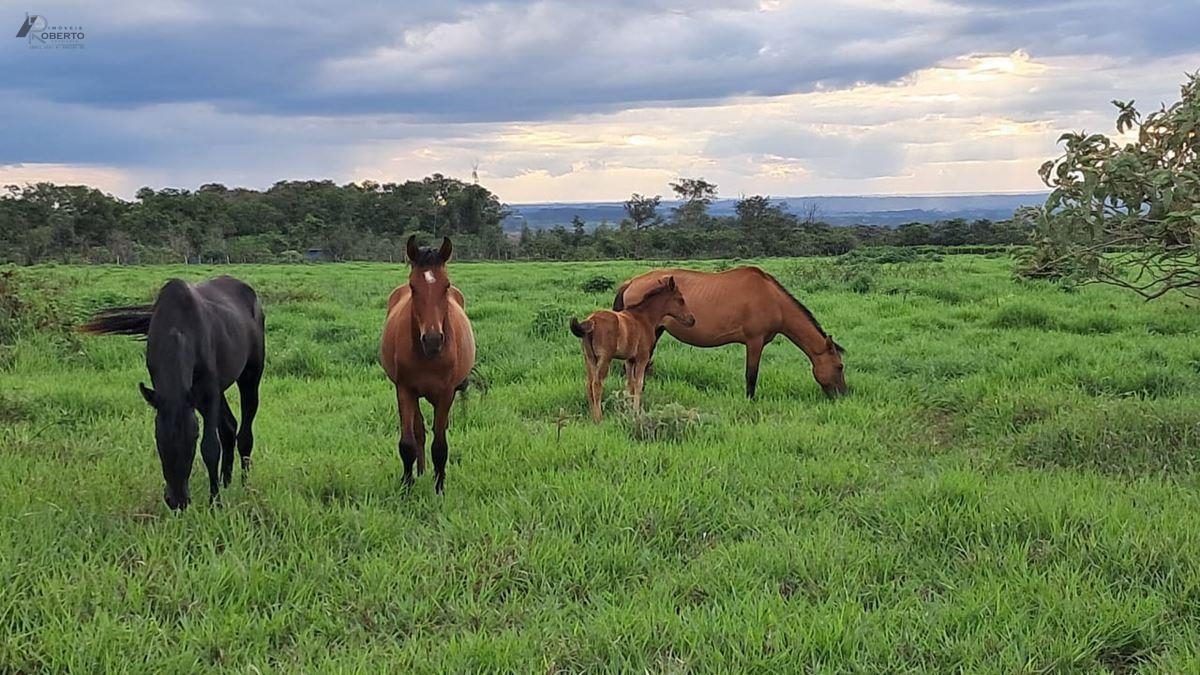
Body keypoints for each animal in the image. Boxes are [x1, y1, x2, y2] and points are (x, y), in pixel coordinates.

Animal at [81, 276, 265, 506]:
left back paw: (245, 486)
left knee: (245, 435)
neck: (177, 327)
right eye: (158, 437)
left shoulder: (208, 392)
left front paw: (215, 502)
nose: (177, 500)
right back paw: (226, 482)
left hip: (250, 375)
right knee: (229, 427)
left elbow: (210, 447)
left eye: (193, 437)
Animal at [379, 235, 472, 487]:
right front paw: (407, 485)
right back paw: (420, 472)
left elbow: (440, 446)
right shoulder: (405, 389)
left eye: (446, 286)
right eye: (413, 287)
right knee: (419, 431)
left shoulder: (446, 393)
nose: (432, 340)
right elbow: (408, 443)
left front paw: (439, 488)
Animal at [568, 273, 700, 420]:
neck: (645, 318)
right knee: (596, 384)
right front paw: (636, 412)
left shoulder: (629, 359)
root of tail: (591, 321)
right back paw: (598, 418)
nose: (692, 320)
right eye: (680, 299)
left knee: (588, 384)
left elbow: (629, 384)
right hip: (604, 358)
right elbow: (638, 384)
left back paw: (592, 415)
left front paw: (628, 409)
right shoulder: (642, 357)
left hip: (589, 358)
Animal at [614, 265, 849, 396]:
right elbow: (751, 375)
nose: (843, 394)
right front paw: (750, 400)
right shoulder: (755, 342)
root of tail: (631, 282)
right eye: (839, 366)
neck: (772, 299)